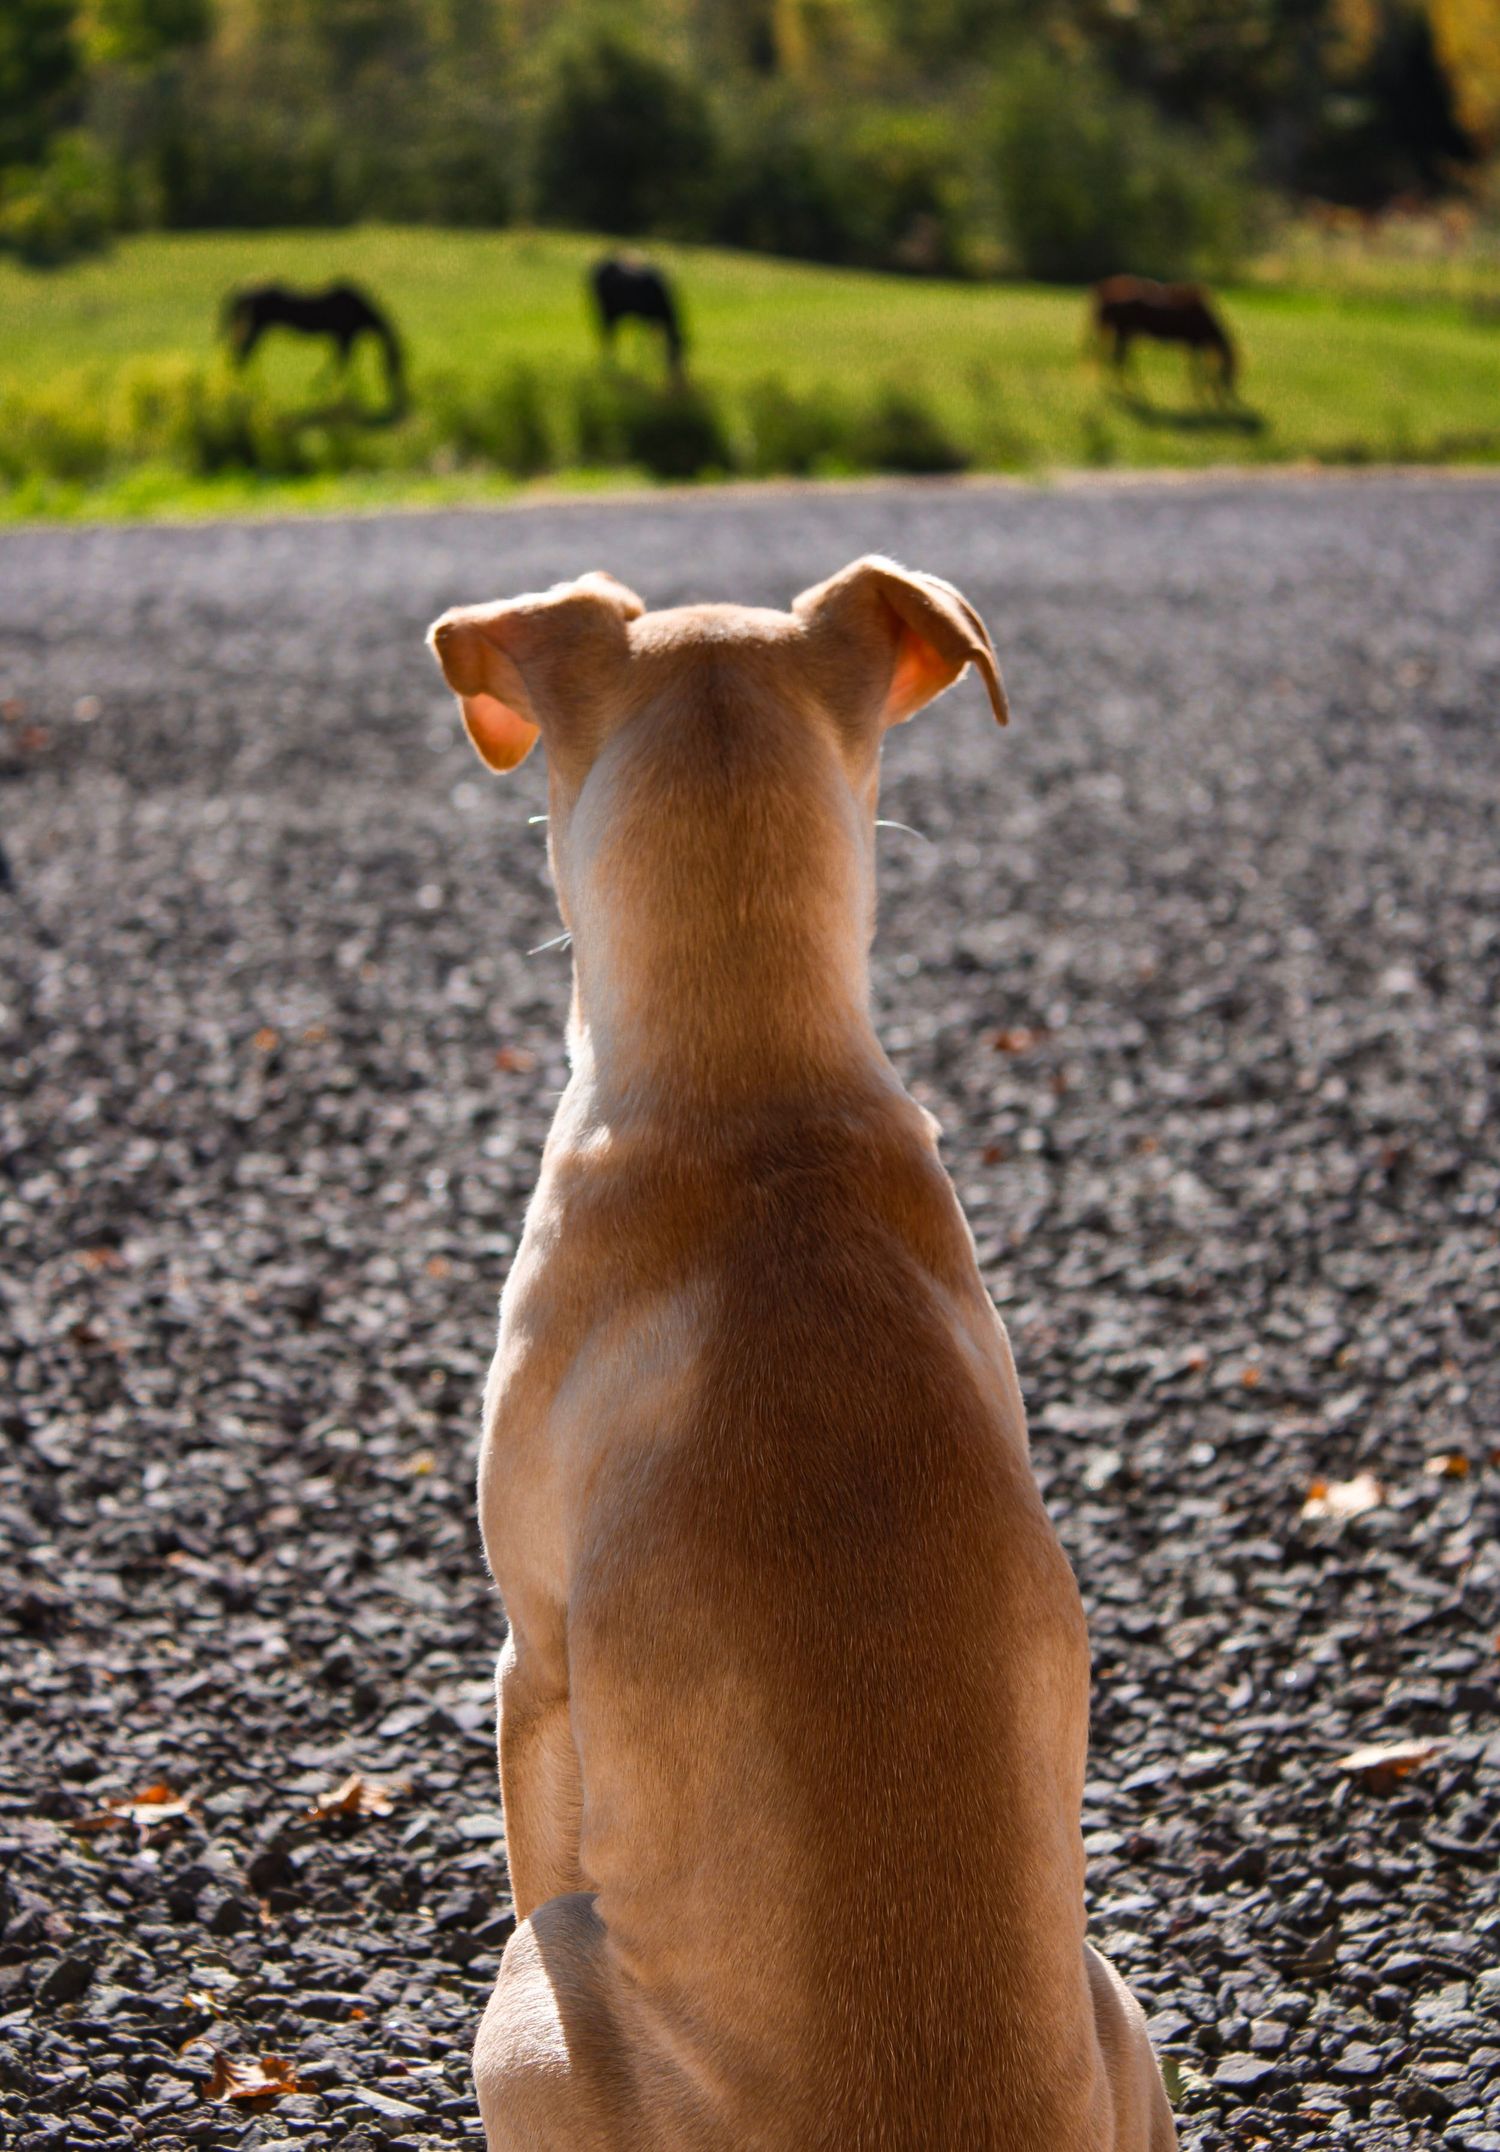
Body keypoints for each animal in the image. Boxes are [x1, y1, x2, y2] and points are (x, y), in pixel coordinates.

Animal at [221, 282, 406, 411]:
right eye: (394, 363)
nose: (398, 394)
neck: (358, 308)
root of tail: (244, 292)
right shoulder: (345, 337)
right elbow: (340, 363)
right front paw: (325, 388)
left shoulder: (340, 338)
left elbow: (339, 362)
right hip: (254, 330)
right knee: (239, 354)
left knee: (238, 354)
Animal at [1090, 276, 1237, 402]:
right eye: (1229, 371)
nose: (1230, 396)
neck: (1203, 317)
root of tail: (1102, 288)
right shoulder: (1193, 344)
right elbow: (1194, 371)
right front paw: (1196, 396)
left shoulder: (1189, 346)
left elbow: (1192, 369)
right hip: (1123, 332)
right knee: (1119, 358)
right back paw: (1128, 389)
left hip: (1123, 333)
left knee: (1118, 358)